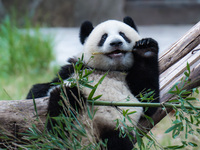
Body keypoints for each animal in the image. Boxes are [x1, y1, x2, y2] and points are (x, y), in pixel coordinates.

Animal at [26, 16, 159, 150]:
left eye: (122, 34)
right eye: (104, 37)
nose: (116, 42)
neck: (110, 70)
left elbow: (148, 99)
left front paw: (146, 48)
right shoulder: (76, 69)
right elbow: (44, 88)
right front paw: (35, 92)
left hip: (117, 128)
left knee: (117, 142)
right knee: (64, 101)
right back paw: (54, 136)